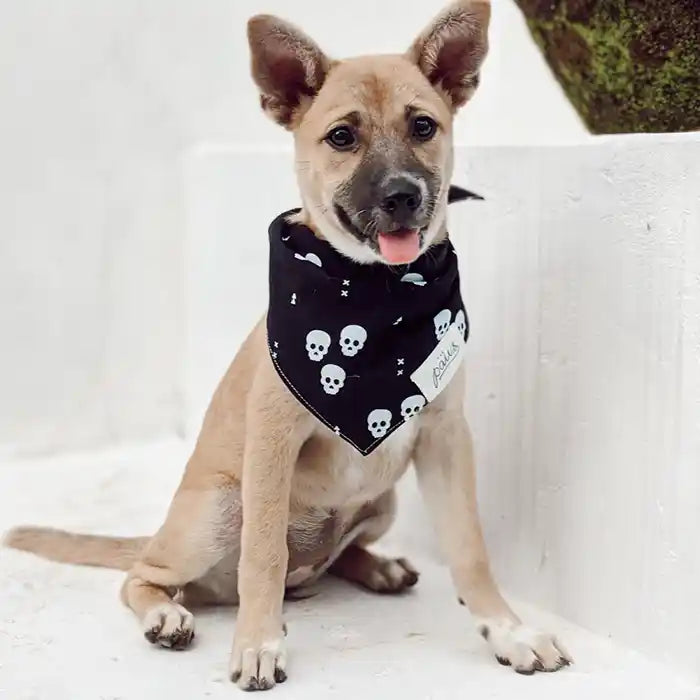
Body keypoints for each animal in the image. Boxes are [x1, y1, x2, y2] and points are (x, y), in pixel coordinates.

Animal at [5, 0, 572, 688]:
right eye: (342, 137)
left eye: (423, 125)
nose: (402, 195)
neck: (374, 296)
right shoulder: (273, 441)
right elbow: (263, 558)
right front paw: (257, 644)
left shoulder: (445, 437)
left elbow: (469, 550)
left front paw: (509, 632)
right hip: (217, 509)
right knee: (148, 577)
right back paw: (166, 615)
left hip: (380, 502)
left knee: (334, 555)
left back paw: (376, 567)